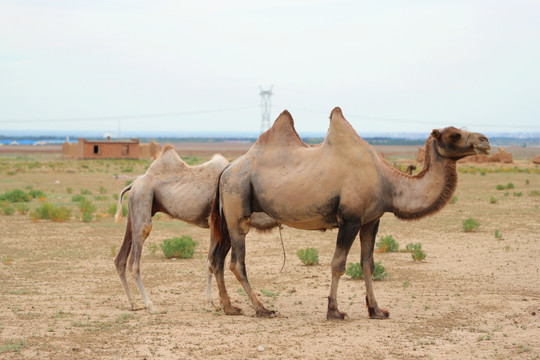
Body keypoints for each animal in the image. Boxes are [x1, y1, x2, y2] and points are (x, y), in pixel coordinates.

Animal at [112, 143, 276, 312]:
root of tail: (134, 184)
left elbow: (210, 261)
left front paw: (211, 303)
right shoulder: (215, 223)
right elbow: (210, 260)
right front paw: (210, 304)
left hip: (135, 209)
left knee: (120, 259)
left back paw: (134, 304)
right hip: (143, 197)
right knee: (135, 259)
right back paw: (150, 305)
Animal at [209, 105, 492, 320]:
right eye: (454, 135)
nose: (485, 140)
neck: (388, 183)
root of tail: (226, 170)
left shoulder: (372, 220)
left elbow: (368, 264)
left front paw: (376, 310)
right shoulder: (350, 219)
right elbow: (338, 264)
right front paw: (334, 311)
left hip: (227, 215)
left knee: (217, 259)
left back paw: (229, 307)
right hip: (237, 204)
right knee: (236, 262)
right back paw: (262, 308)